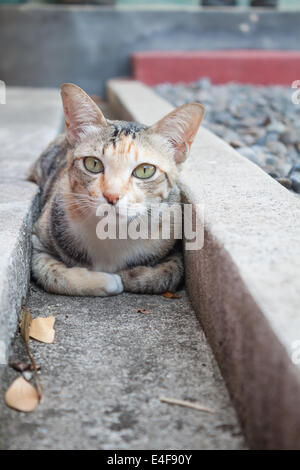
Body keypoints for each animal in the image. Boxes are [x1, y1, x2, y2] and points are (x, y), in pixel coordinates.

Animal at [28, 83, 205, 296]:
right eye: (93, 164)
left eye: (145, 170)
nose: (111, 196)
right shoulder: (38, 241)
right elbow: (51, 274)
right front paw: (107, 281)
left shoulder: (175, 245)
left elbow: (166, 275)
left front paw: (128, 275)